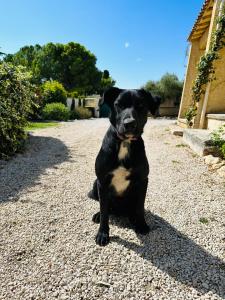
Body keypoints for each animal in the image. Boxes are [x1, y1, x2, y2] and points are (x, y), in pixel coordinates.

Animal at [88, 87, 160, 246]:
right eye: (118, 105)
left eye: (141, 105)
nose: (129, 123)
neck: (125, 143)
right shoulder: (102, 181)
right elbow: (104, 211)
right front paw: (103, 233)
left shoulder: (143, 180)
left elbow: (140, 206)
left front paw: (141, 224)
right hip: (95, 184)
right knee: (106, 208)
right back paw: (98, 215)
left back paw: (133, 218)